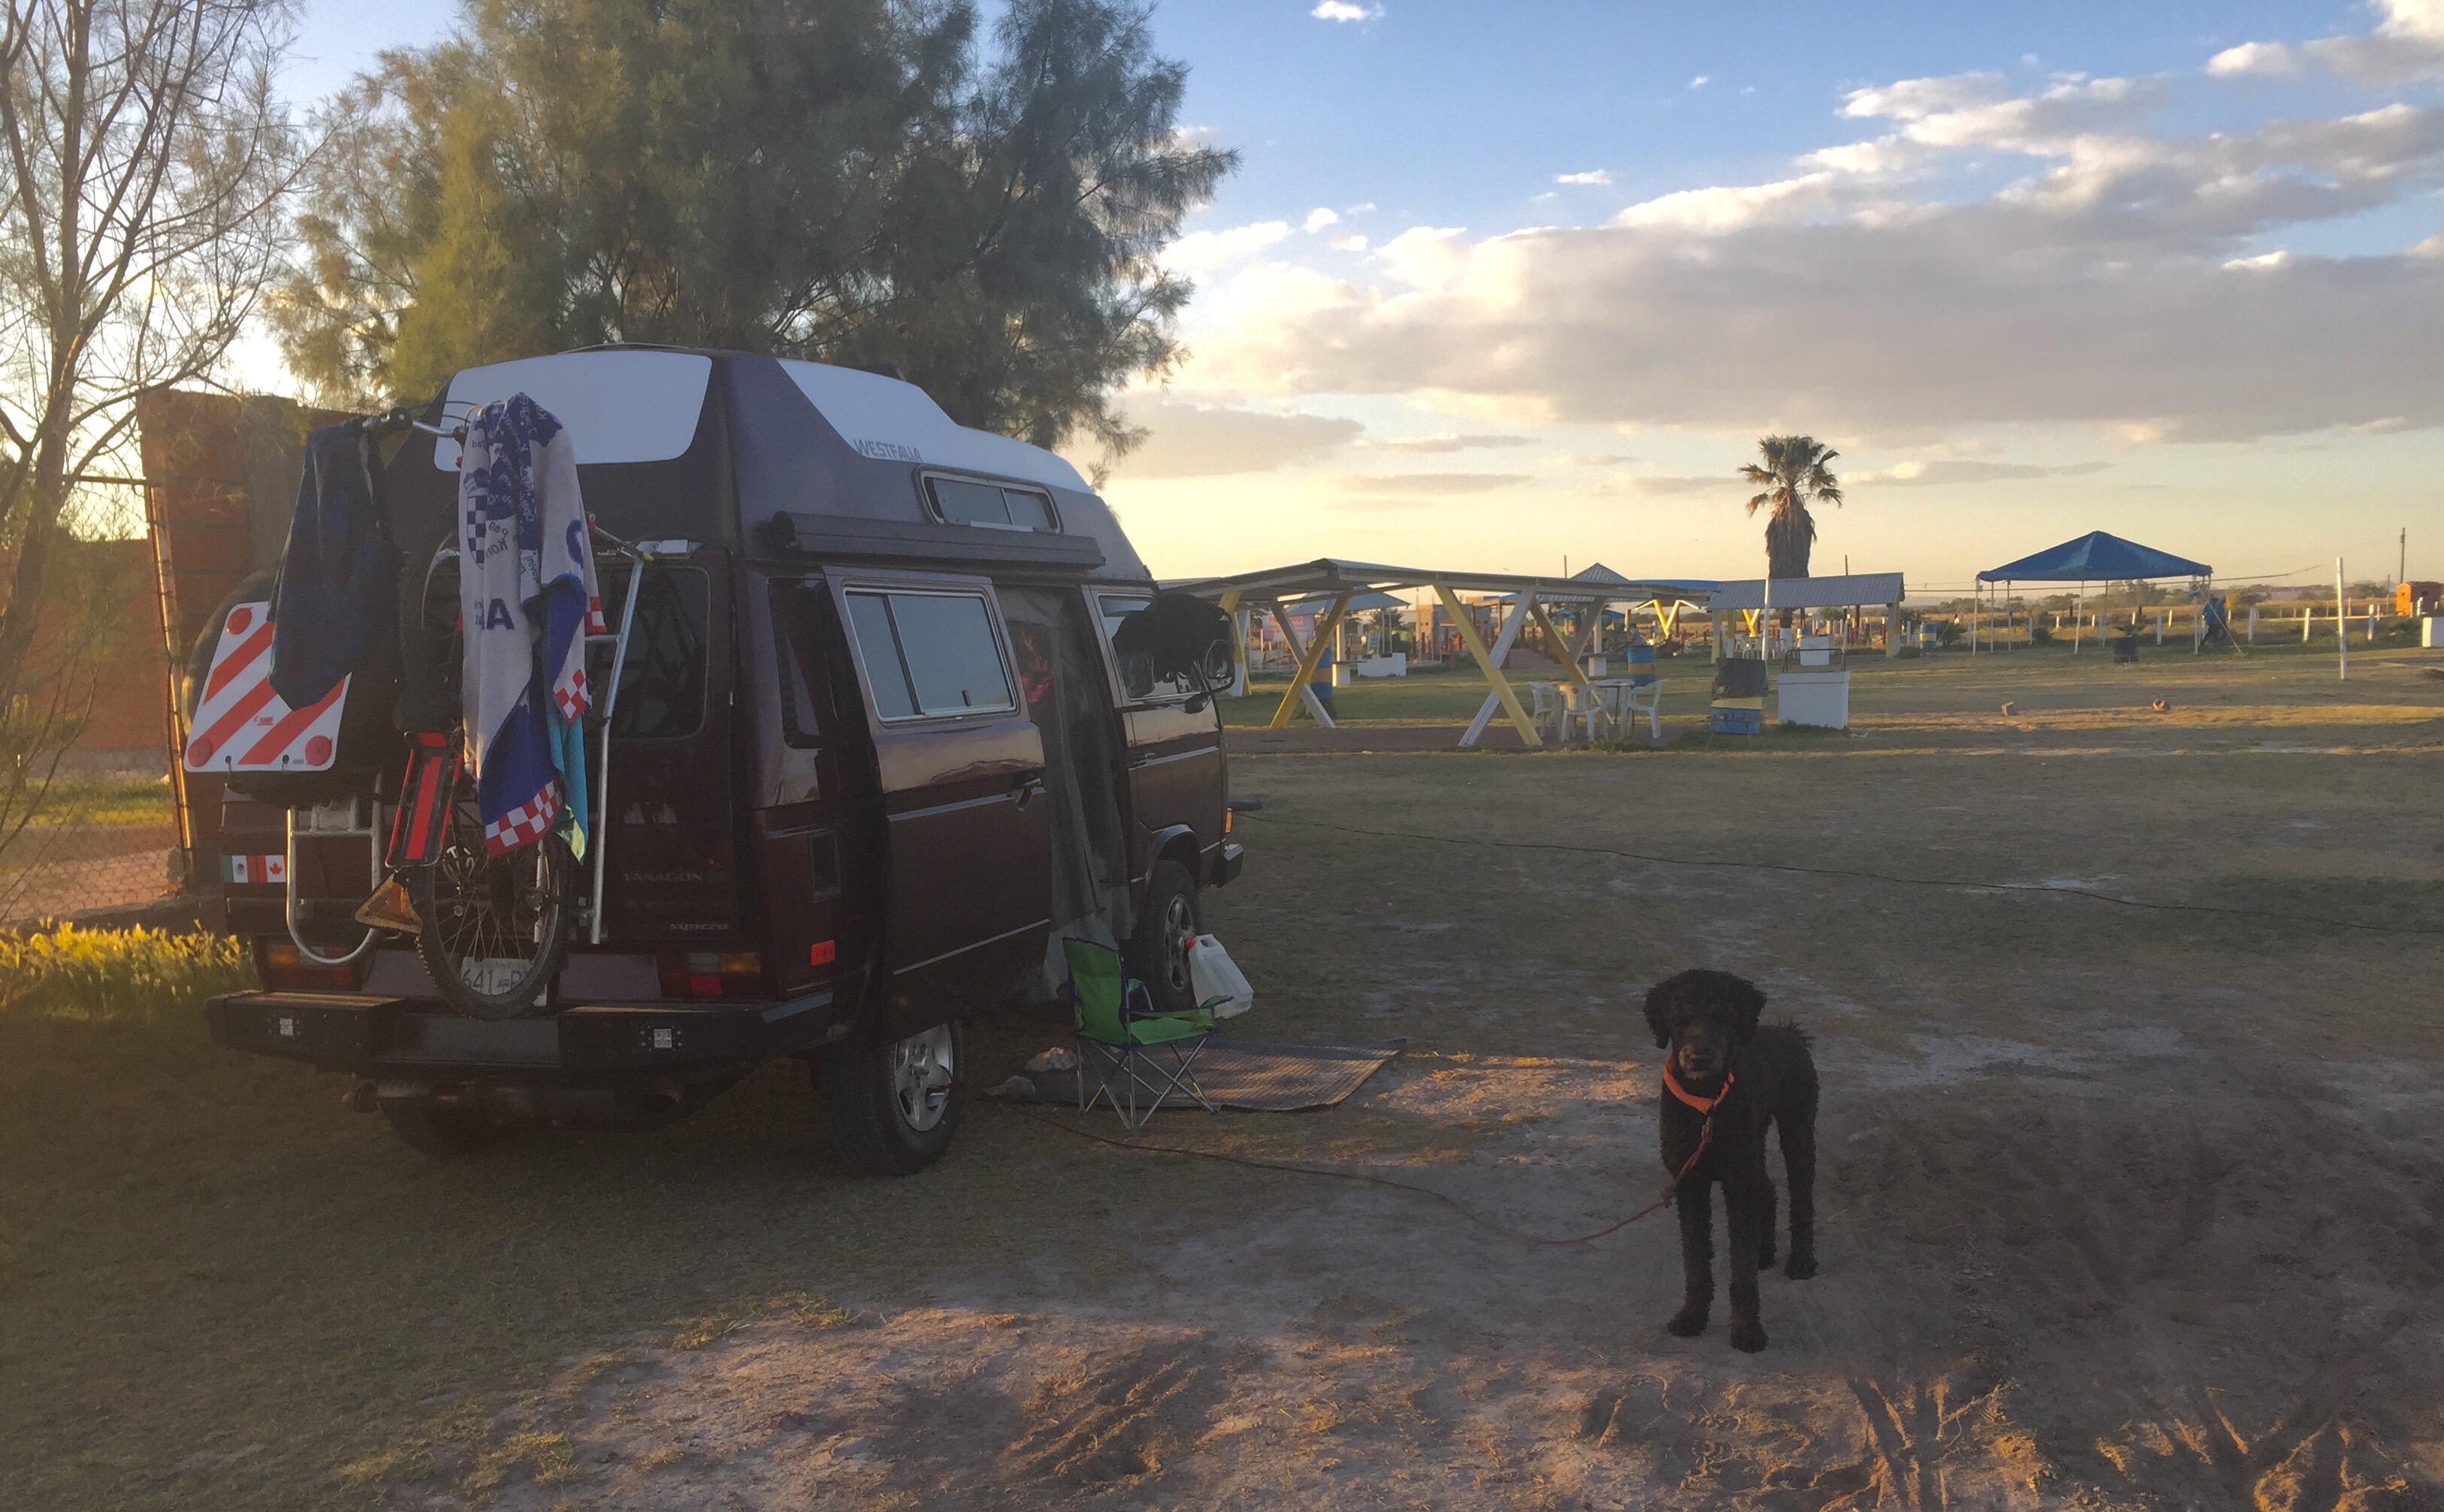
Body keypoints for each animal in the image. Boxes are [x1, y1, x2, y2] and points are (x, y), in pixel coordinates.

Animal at [1642, 969, 1820, 1352]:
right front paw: (1692, 1317)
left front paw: (1747, 1331)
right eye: (1680, 1020)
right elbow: (1695, 1260)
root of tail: (1789, 1032)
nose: (1699, 1058)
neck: (1707, 1103)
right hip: (1754, 1146)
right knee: (1768, 1190)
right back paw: (1764, 1251)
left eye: (1723, 1017)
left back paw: (1801, 1261)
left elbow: (1741, 1269)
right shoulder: (1692, 1184)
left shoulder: (1737, 1185)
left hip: (1797, 1132)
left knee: (1801, 1201)